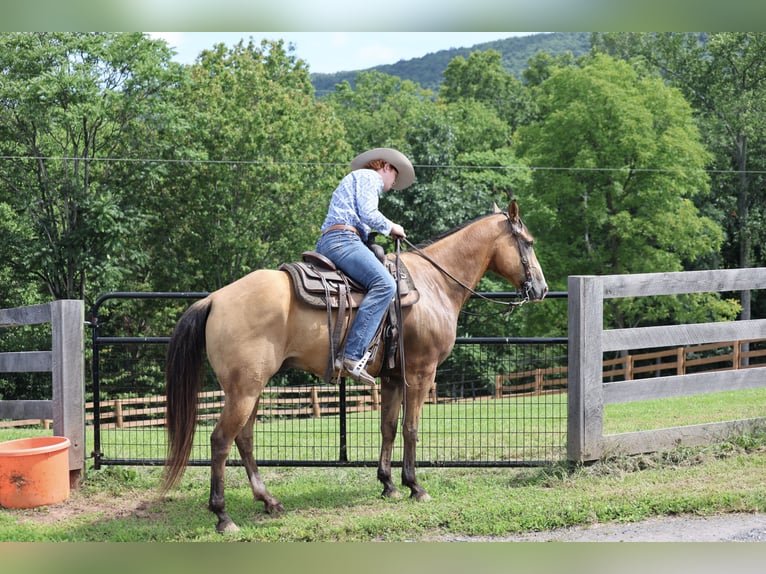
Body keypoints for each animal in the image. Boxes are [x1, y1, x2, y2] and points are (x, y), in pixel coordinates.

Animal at [161, 200, 548, 533]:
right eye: (527, 243)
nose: (542, 289)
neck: (433, 283)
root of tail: (216, 299)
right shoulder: (421, 373)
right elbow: (410, 428)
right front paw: (415, 486)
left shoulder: (393, 377)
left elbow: (388, 427)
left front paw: (389, 484)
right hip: (244, 389)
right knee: (221, 440)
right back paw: (223, 516)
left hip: (251, 388)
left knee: (244, 438)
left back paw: (269, 500)